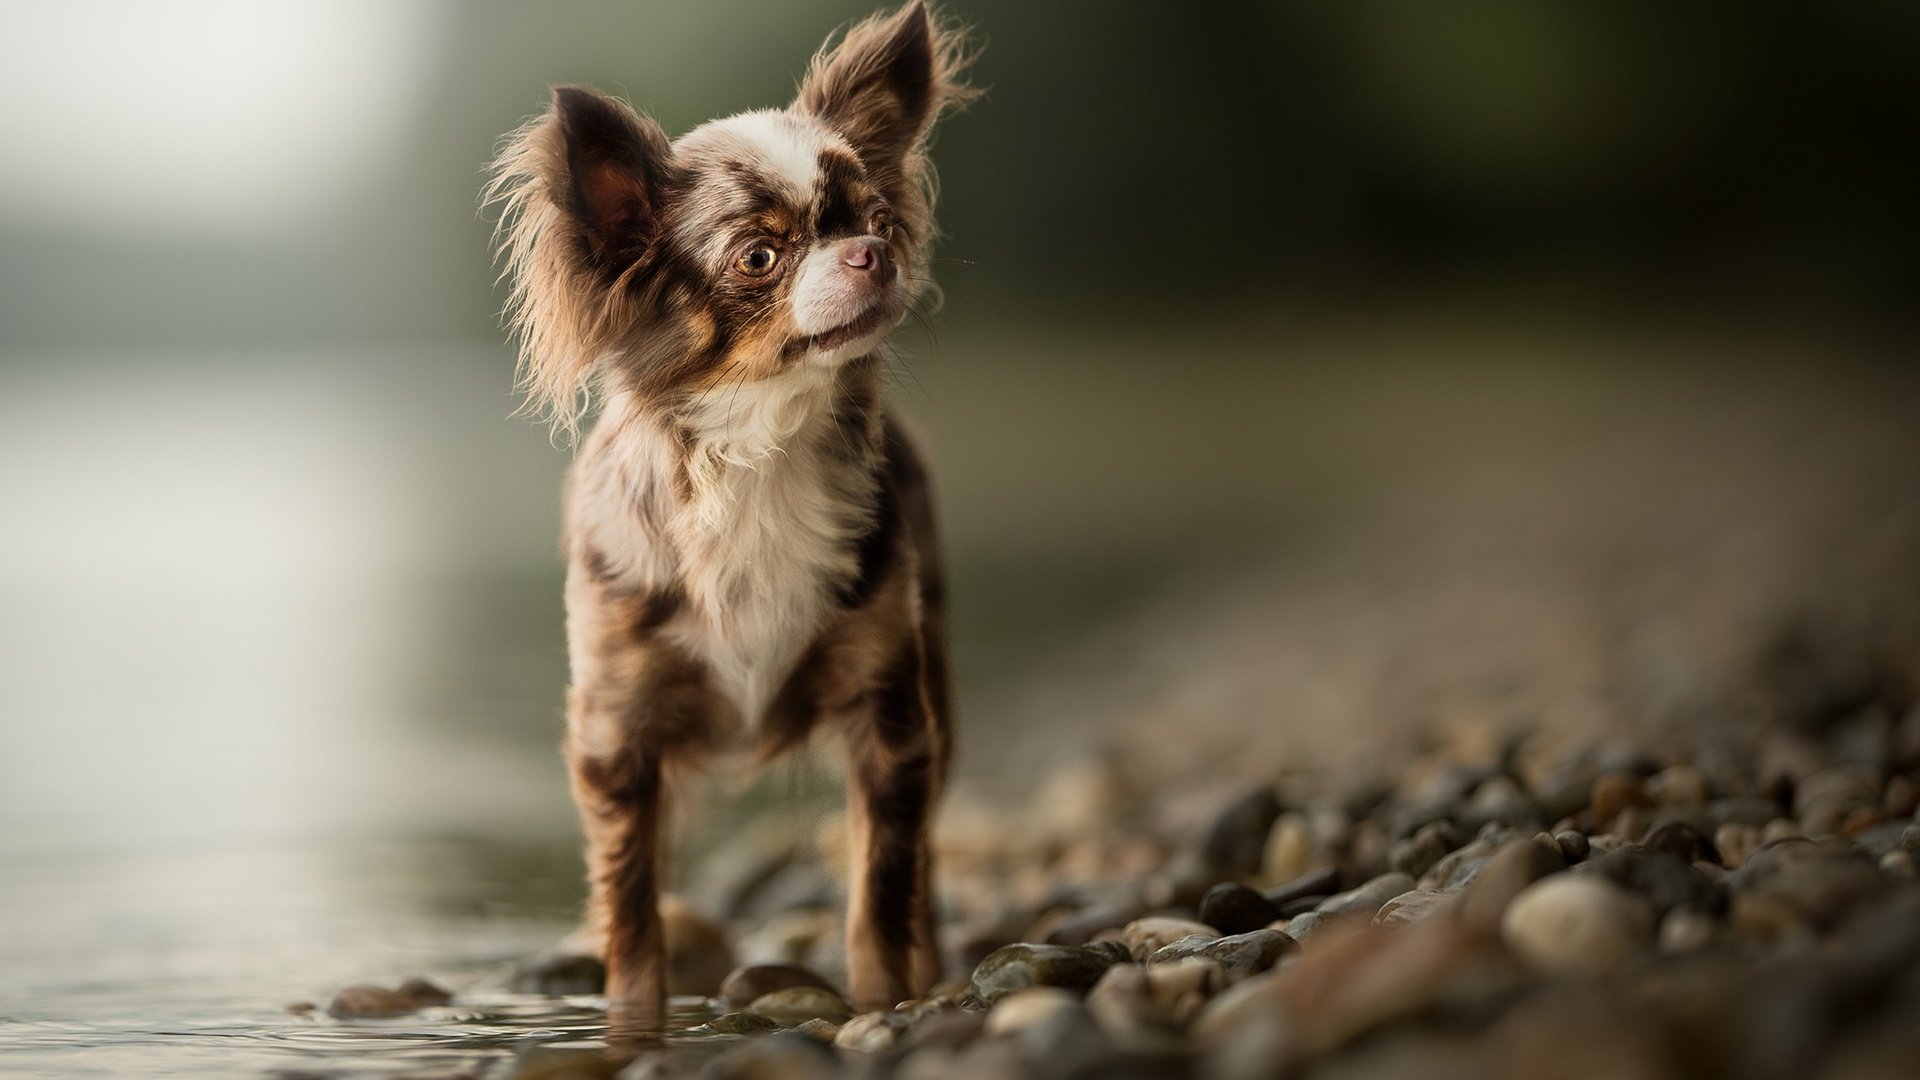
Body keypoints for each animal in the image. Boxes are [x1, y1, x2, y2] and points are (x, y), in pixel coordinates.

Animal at [487, 0, 983, 1022]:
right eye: (760, 256)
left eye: (878, 219)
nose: (874, 253)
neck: (760, 455)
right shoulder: (618, 740)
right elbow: (632, 916)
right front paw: (635, 1023)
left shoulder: (891, 720)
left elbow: (883, 888)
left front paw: (887, 1002)